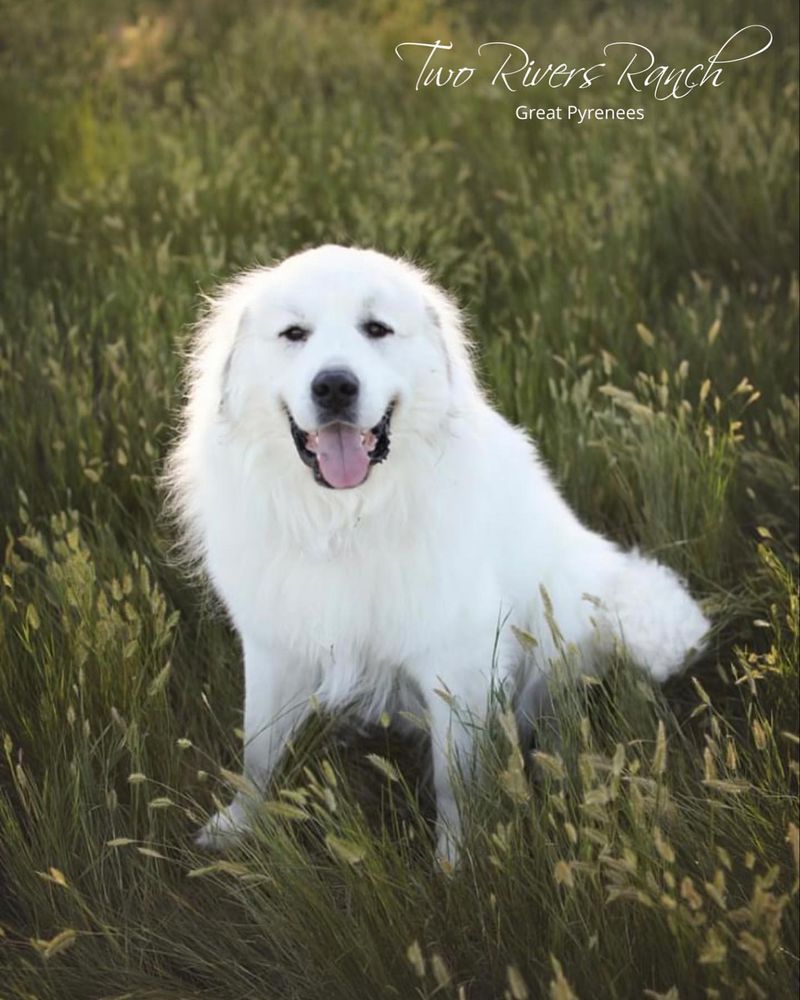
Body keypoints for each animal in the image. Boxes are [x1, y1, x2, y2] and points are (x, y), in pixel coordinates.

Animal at [166, 242, 708, 860]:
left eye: (376, 329)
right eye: (294, 334)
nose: (334, 387)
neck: (347, 518)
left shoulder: (457, 659)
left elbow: (456, 778)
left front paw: (458, 860)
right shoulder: (275, 644)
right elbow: (257, 749)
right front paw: (240, 823)